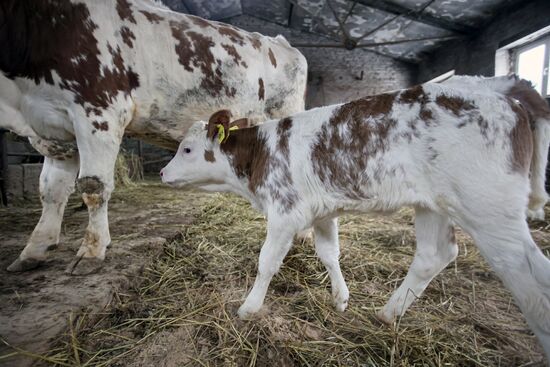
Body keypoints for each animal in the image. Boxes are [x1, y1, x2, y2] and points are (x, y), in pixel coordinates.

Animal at [0, 0, 308, 274]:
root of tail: (281, 43)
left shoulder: (99, 111)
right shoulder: (51, 131)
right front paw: (35, 249)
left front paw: (91, 251)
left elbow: (92, 186)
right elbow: (51, 190)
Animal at [162, 76, 550, 360]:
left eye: (187, 149)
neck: (259, 155)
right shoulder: (320, 210)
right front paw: (341, 298)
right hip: (435, 204)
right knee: (435, 255)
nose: (164, 173)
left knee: (530, 280)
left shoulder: (285, 210)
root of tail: (504, 94)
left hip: (489, 210)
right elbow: (329, 253)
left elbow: (267, 261)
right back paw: (388, 313)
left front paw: (249, 308)